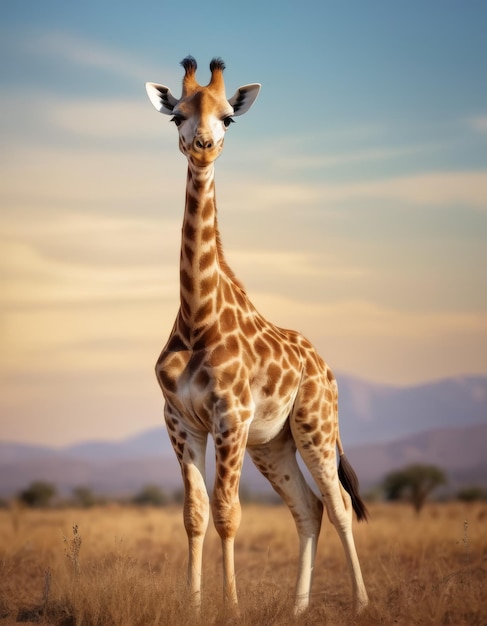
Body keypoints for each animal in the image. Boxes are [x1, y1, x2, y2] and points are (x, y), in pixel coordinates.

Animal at [147, 56, 368, 612]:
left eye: (228, 117)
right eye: (177, 115)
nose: (203, 145)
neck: (196, 318)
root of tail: (327, 370)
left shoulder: (231, 416)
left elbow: (228, 512)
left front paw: (230, 606)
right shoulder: (179, 421)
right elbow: (195, 513)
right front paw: (194, 605)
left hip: (315, 427)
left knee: (337, 504)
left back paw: (361, 602)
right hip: (273, 443)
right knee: (308, 508)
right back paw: (298, 607)